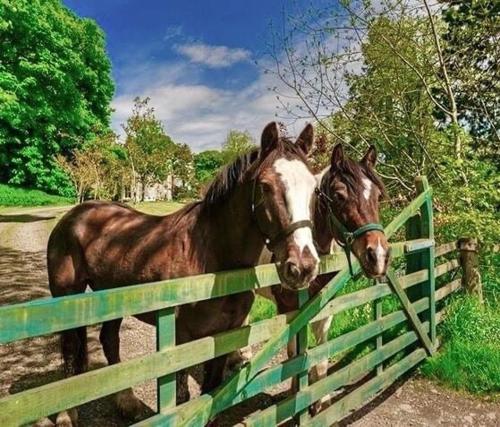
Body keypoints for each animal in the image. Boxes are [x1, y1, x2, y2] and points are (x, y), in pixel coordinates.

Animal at [47, 122, 320, 426]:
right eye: (266, 186)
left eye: (314, 188)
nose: (303, 266)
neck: (212, 257)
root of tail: (75, 214)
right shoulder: (181, 338)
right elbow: (182, 397)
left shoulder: (225, 335)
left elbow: (212, 391)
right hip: (66, 295)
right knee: (71, 349)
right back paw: (66, 415)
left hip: (112, 297)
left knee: (109, 341)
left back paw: (126, 402)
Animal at [238, 144, 390, 414]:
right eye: (339, 195)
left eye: (378, 196)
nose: (379, 255)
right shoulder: (289, 309)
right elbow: (293, 354)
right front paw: (294, 394)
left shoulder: (323, 309)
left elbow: (320, 356)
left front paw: (321, 400)